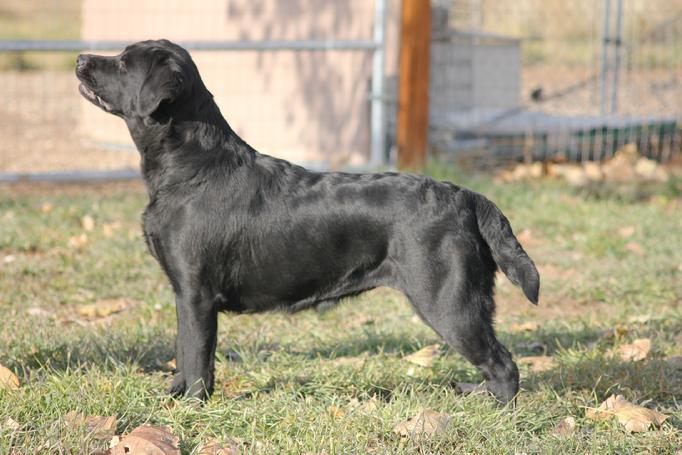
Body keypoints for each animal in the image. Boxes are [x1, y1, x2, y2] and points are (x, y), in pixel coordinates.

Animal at [77, 38, 540, 402]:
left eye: (124, 63)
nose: (81, 58)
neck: (191, 167)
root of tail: (466, 196)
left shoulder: (196, 293)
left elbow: (196, 357)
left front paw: (191, 407)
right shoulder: (183, 294)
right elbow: (183, 351)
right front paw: (173, 394)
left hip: (449, 301)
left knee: (504, 364)